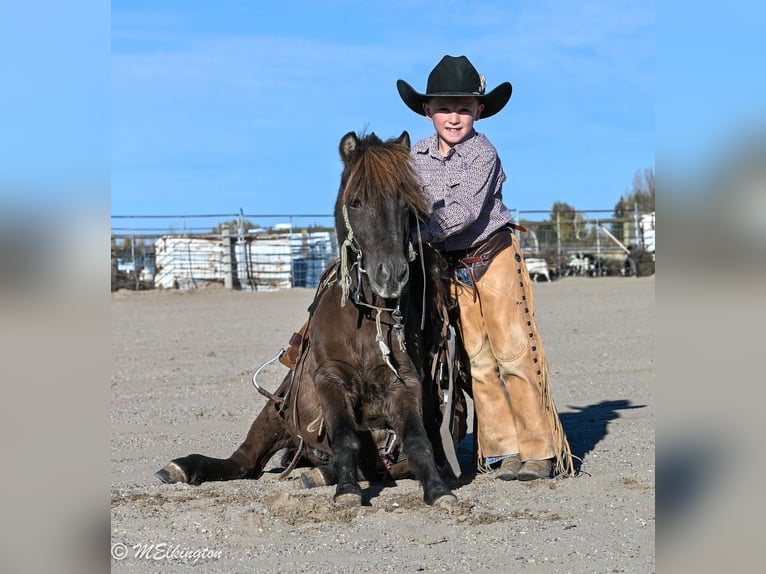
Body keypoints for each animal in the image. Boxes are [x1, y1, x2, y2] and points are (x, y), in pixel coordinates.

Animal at [155, 131, 466, 507]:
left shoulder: (403, 384)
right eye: (356, 202)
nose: (391, 274)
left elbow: (417, 441)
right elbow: (345, 437)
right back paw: (183, 467)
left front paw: (437, 489)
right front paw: (347, 490)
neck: (366, 322)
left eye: (406, 204)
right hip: (276, 412)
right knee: (245, 461)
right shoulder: (329, 380)